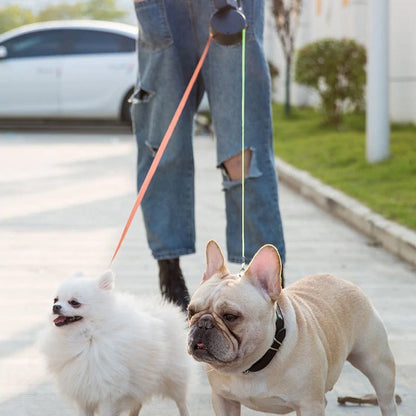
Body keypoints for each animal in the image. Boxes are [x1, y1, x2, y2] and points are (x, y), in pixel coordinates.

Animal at [37, 270, 190, 416]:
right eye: (55, 299)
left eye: (74, 302)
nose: (55, 307)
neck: (88, 335)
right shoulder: (83, 394)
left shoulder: (108, 393)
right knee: (138, 403)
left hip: (174, 377)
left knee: (181, 402)